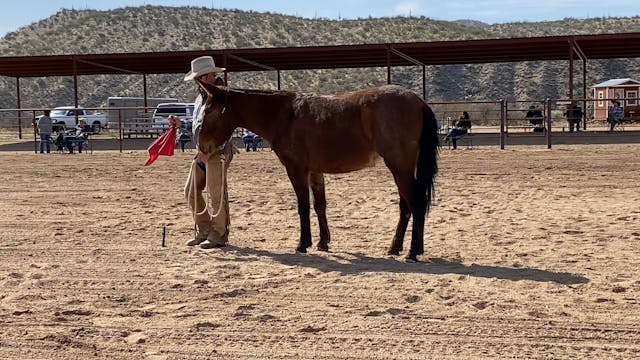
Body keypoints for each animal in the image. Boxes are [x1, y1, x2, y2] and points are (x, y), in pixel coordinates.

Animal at [199, 83, 440, 260]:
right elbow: (319, 205)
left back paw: (412, 252)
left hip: (400, 168)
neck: (286, 115)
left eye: (208, 110)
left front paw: (302, 244)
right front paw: (323, 242)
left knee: (415, 204)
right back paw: (396, 248)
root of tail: (418, 101)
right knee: (405, 207)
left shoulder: (296, 169)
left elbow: (303, 206)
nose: (202, 147)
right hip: (402, 169)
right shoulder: (315, 171)